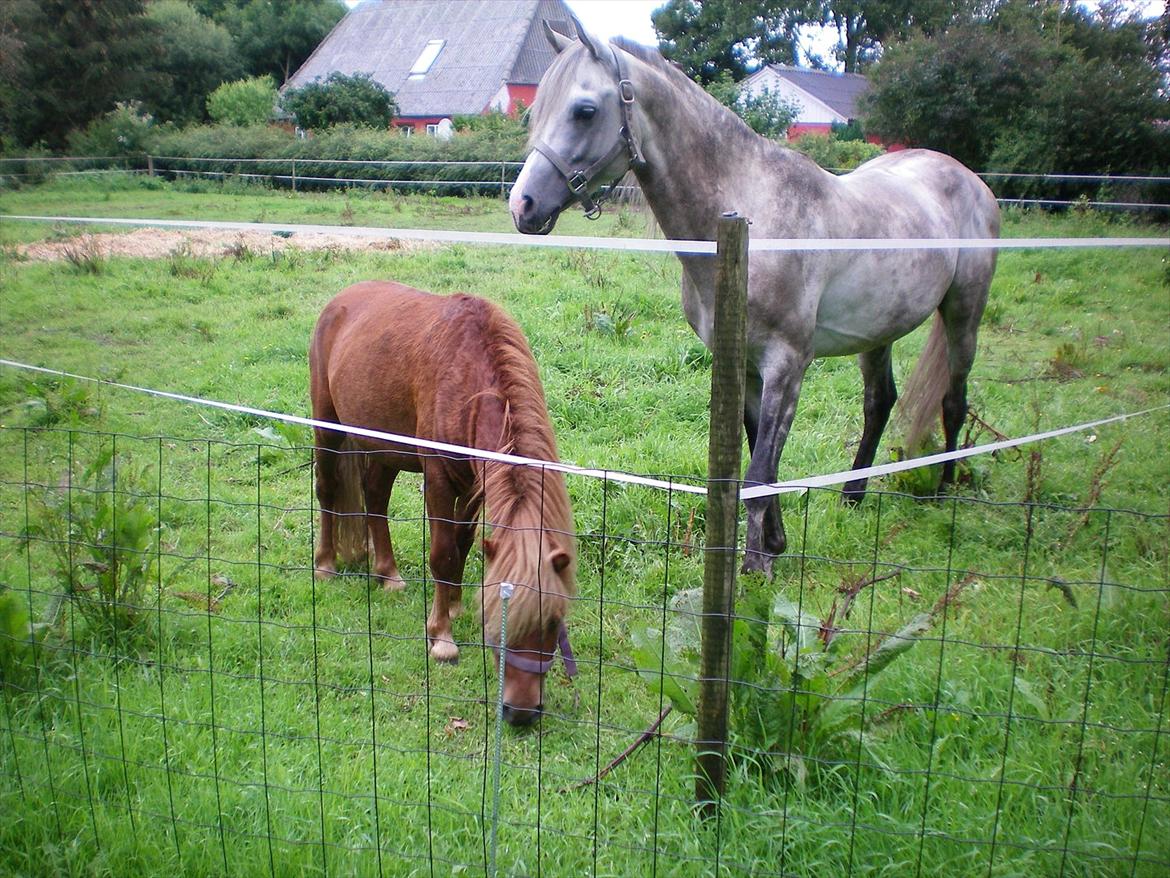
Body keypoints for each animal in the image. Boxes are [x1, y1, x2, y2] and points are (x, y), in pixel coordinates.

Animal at [311, 283, 575, 730]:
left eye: (554, 622)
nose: (521, 711)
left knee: (375, 499)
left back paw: (388, 574)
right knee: (328, 490)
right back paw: (326, 565)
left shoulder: (472, 486)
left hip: (383, 447)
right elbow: (442, 553)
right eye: (499, 621)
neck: (470, 378)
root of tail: (339, 300)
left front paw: (454, 603)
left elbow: (463, 542)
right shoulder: (436, 479)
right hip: (327, 427)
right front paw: (441, 636)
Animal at [507, 25, 1001, 578]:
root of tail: (969, 179)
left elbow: (761, 469)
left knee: (954, 402)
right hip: (880, 332)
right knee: (879, 403)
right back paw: (853, 496)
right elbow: (759, 456)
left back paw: (942, 493)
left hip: (964, 313)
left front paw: (755, 569)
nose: (522, 205)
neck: (749, 217)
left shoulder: (787, 363)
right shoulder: (744, 365)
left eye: (585, 110)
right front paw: (776, 543)